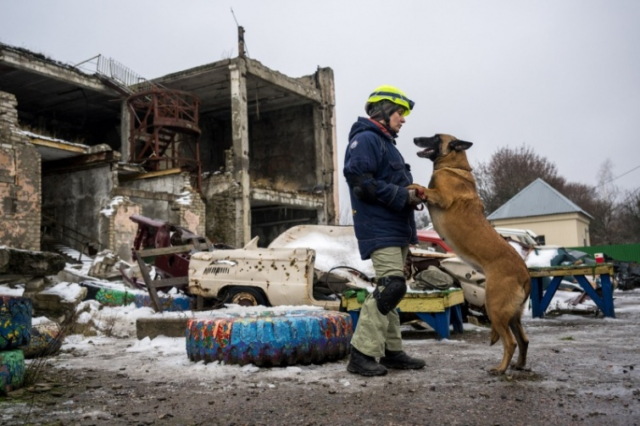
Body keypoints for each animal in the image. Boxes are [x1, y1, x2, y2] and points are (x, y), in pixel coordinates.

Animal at [416, 133, 528, 372]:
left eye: (435, 137)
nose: (415, 138)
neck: (453, 166)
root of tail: (525, 275)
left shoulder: (441, 197)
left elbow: (418, 185)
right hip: (512, 315)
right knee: (523, 340)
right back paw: (519, 365)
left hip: (495, 308)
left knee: (511, 342)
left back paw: (501, 369)